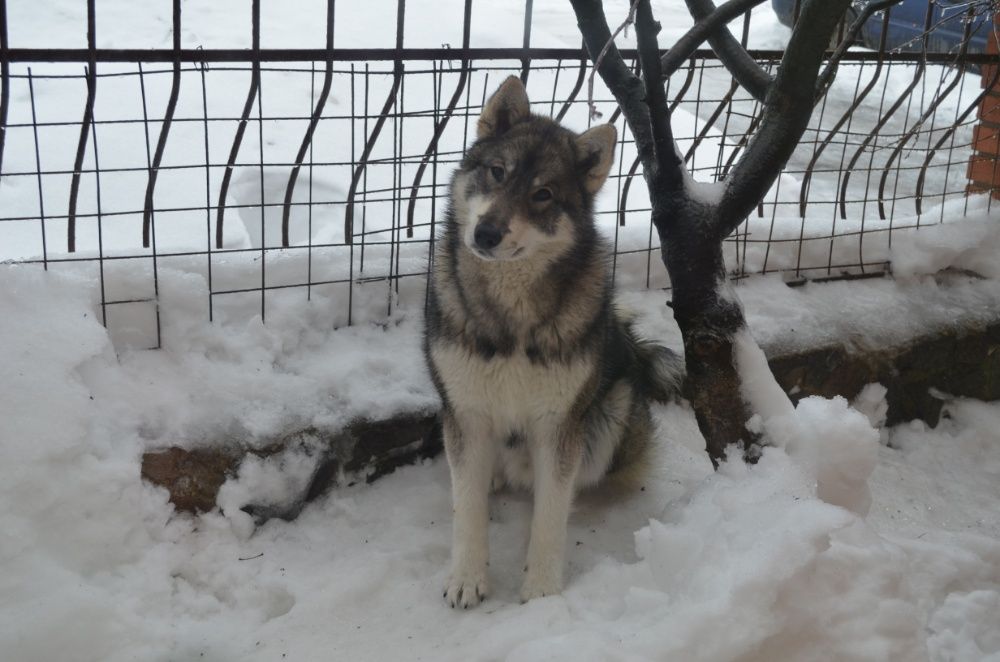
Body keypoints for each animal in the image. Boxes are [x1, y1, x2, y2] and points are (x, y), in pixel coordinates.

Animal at [426, 75, 684, 608]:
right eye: (497, 172)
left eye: (543, 194)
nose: (486, 233)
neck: (511, 313)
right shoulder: (465, 414)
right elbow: (467, 510)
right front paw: (467, 578)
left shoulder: (559, 427)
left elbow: (550, 514)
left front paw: (542, 591)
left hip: (610, 416)